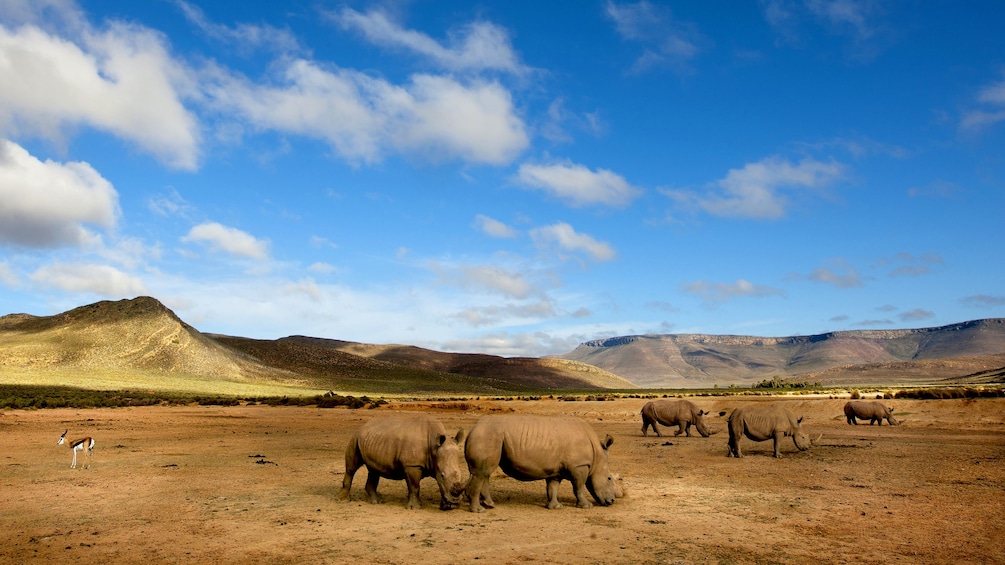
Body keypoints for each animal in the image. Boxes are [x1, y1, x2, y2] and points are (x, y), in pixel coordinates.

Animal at [464, 414, 619, 510]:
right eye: (609, 478)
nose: (612, 501)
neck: (597, 455)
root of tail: (473, 429)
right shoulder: (579, 465)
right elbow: (579, 486)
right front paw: (586, 506)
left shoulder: (556, 470)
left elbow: (553, 487)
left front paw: (555, 507)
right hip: (488, 435)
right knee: (482, 473)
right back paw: (479, 510)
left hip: (489, 435)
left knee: (485, 473)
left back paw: (489, 505)